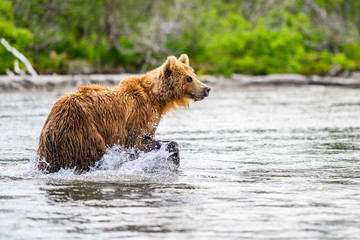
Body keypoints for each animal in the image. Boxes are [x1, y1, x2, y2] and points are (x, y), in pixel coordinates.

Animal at [36, 54, 211, 172]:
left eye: (194, 75)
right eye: (188, 78)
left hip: (50, 149)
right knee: (95, 151)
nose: (207, 89)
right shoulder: (139, 117)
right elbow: (139, 142)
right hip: (81, 128)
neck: (156, 99)